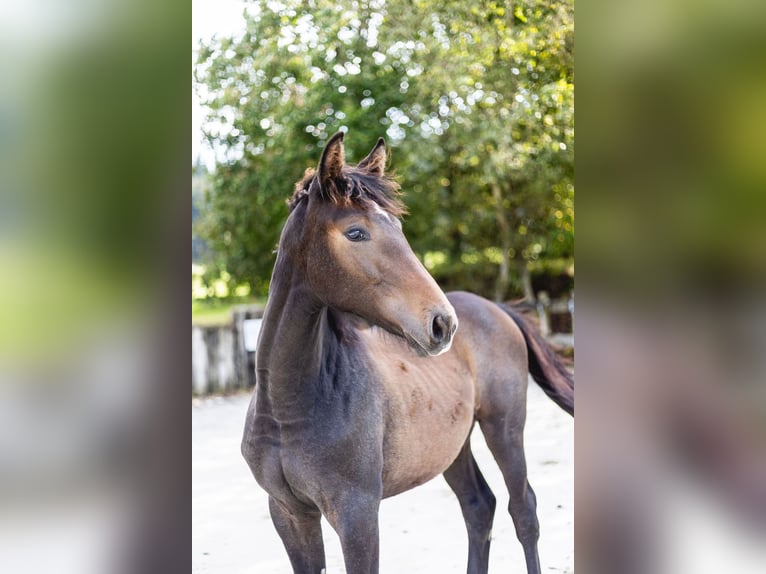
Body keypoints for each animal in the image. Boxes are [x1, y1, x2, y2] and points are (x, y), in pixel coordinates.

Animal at [243, 133, 572, 572]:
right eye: (356, 233)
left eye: (397, 226)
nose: (442, 324)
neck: (290, 407)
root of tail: (497, 308)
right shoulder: (289, 513)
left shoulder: (357, 515)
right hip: (453, 446)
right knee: (479, 506)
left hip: (504, 428)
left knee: (524, 511)